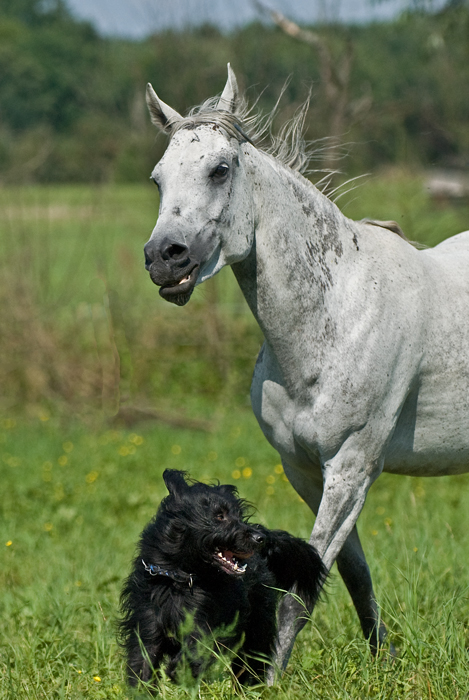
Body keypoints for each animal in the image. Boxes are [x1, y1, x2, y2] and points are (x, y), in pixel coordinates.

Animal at [119, 474, 326, 688]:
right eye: (219, 516)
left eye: (239, 515)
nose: (260, 537)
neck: (180, 579)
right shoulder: (147, 625)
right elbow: (142, 662)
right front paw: (142, 689)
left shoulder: (211, 623)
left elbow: (197, 646)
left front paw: (180, 671)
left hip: (257, 627)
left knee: (251, 661)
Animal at [142, 64, 468, 680]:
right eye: (157, 179)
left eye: (220, 169)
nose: (164, 259)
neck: (339, 312)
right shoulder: (306, 471)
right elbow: (353, 576)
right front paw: (383, 660)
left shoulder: (352, 468)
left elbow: (301, 592)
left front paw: (269, 679)